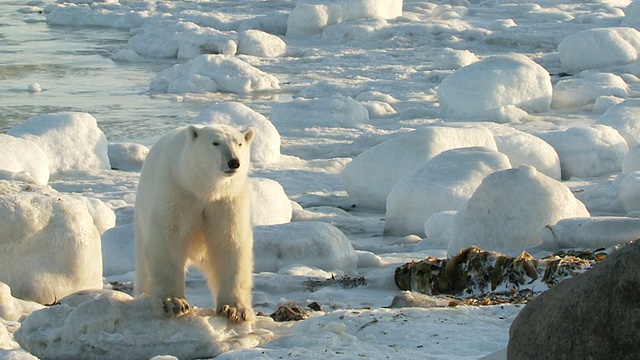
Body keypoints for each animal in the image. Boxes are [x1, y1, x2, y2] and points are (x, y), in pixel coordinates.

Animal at [135, 124, 255, 324]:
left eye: (238, 143)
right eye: (215, 143)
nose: (233, 162)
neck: (202, 188)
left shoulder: (227, 200)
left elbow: (229, 242)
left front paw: (235, 310)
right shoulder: (177, 191)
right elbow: (169, 238)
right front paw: (172, 303)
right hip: (142, 214)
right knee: (144, 267)